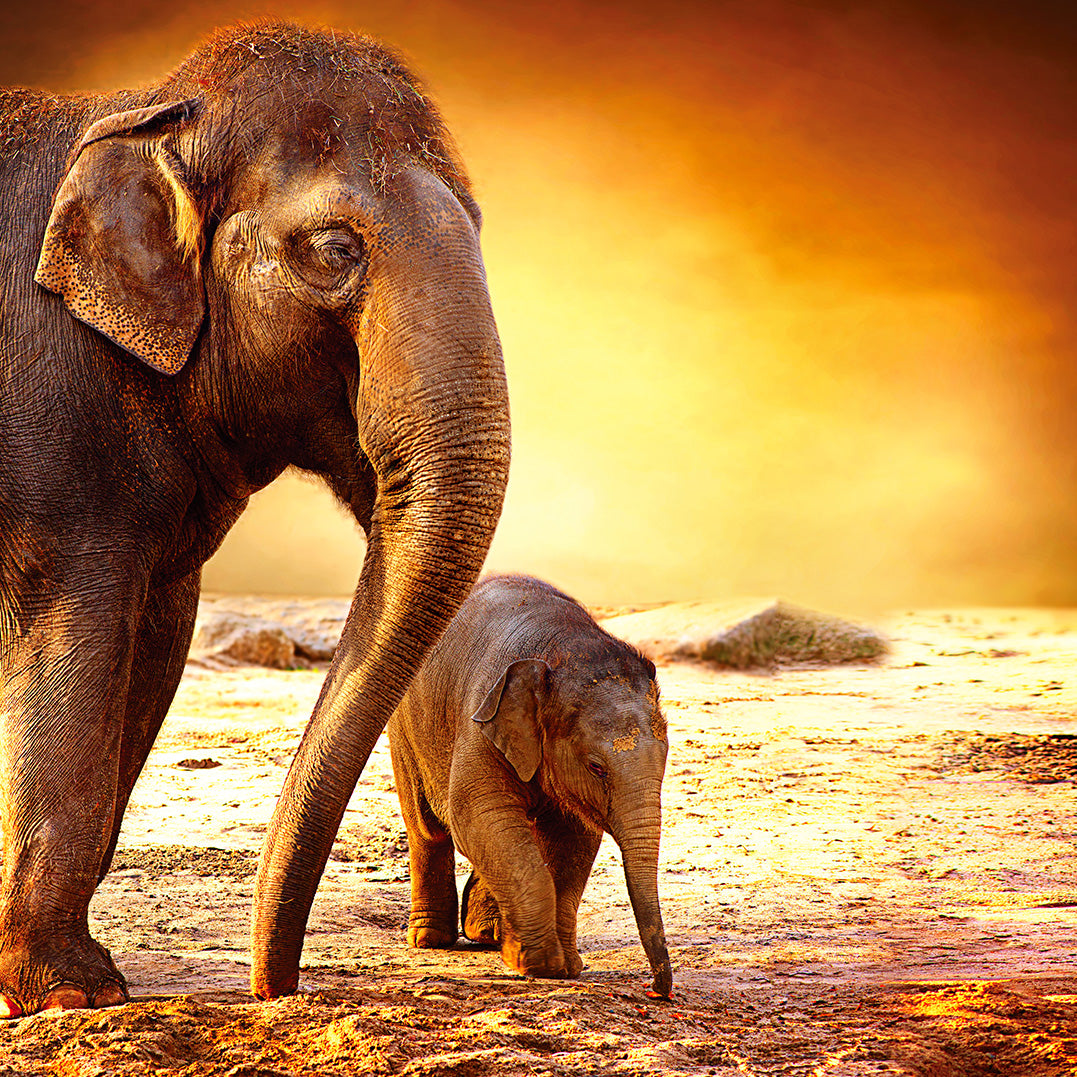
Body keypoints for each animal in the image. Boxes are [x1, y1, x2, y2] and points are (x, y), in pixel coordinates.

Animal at [0, 22, 510, 1016]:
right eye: (334, 249)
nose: (273, 986)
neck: (143, 110)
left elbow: (151, 652)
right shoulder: (51, 425)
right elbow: (72, 645)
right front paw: (73, 993)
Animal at [387, 574, 674, 999]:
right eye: (596, 768)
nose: (656, 989)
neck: (564, 647)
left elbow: (573, 841)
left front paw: (564, 965)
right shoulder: (482, 716)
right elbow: (476, 814)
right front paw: (539, 964)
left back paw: (487, 933)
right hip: (406, 726)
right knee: (427, 827)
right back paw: (429, 939)